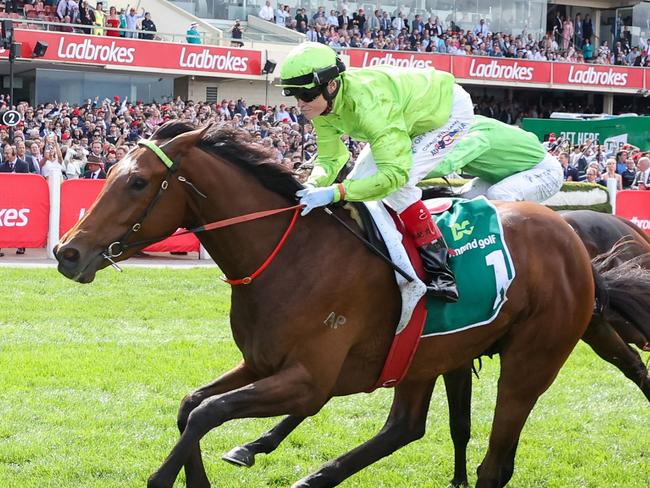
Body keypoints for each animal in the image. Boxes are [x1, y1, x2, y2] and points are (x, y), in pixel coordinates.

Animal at [55, 119, 648, 488]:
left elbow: (208, 411)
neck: (292, 253)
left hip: (533, 358)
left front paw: (167, 475)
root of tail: (573, 240)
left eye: (137, 182)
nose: (67, 252)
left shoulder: (310, 379)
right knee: (406, 427)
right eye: (108, 173)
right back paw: (314, 476)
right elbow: (191, 405)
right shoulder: (263, 362)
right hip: (425, 354)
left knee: (496, 461)